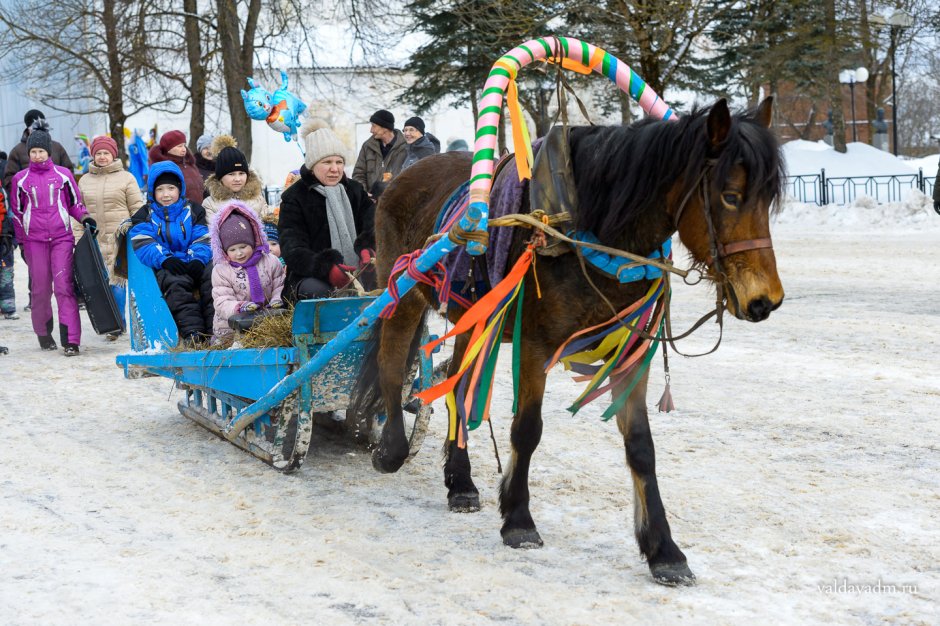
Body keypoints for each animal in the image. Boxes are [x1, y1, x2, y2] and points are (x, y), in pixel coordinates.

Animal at [348, 97, 784, 584]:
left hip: (475, 322)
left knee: (458, 389)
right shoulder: (534, 345)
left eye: (769, 198)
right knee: (391, 363)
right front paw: (518, 519)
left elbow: (641, 446)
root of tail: (399, 175)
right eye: (730, 196)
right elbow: (527, 430)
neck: (588, 229)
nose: (765, 300)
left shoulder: (631, 352)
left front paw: (663, 549)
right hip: (403, 292)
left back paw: (460, 481)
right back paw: (391, 448)